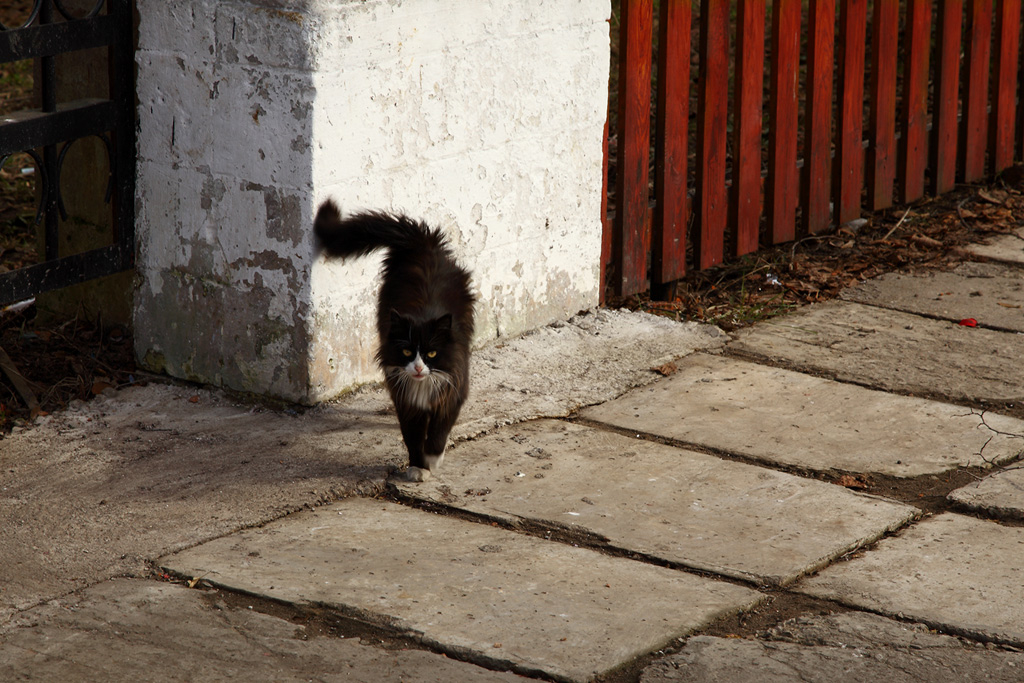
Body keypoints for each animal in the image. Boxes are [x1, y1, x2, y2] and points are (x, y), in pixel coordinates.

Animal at [311, 200, 475, 483]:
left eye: (432, 354)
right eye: (407, 352)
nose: (418, 368)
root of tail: (423, 242)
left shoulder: (453, 390)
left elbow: (439, 430)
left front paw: (432, 458)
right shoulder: (405, 400)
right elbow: (412, 437)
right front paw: (418, 467)